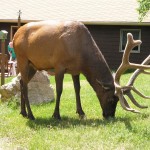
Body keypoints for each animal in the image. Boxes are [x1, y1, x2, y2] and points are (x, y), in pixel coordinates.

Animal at [12, 20, 150, 120]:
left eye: (117, 100)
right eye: (111, 99)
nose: (110, 116)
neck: (82, 55)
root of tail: (15, 36)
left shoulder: (75, 70)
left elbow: (77, 89)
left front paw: (81, 112)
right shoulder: (59, 65)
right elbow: (59, 90)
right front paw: (56, 115)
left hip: (33, 65)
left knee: (21, 82)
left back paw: (23, 112)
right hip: (22, 59)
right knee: (25, 86)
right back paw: (31, 115)